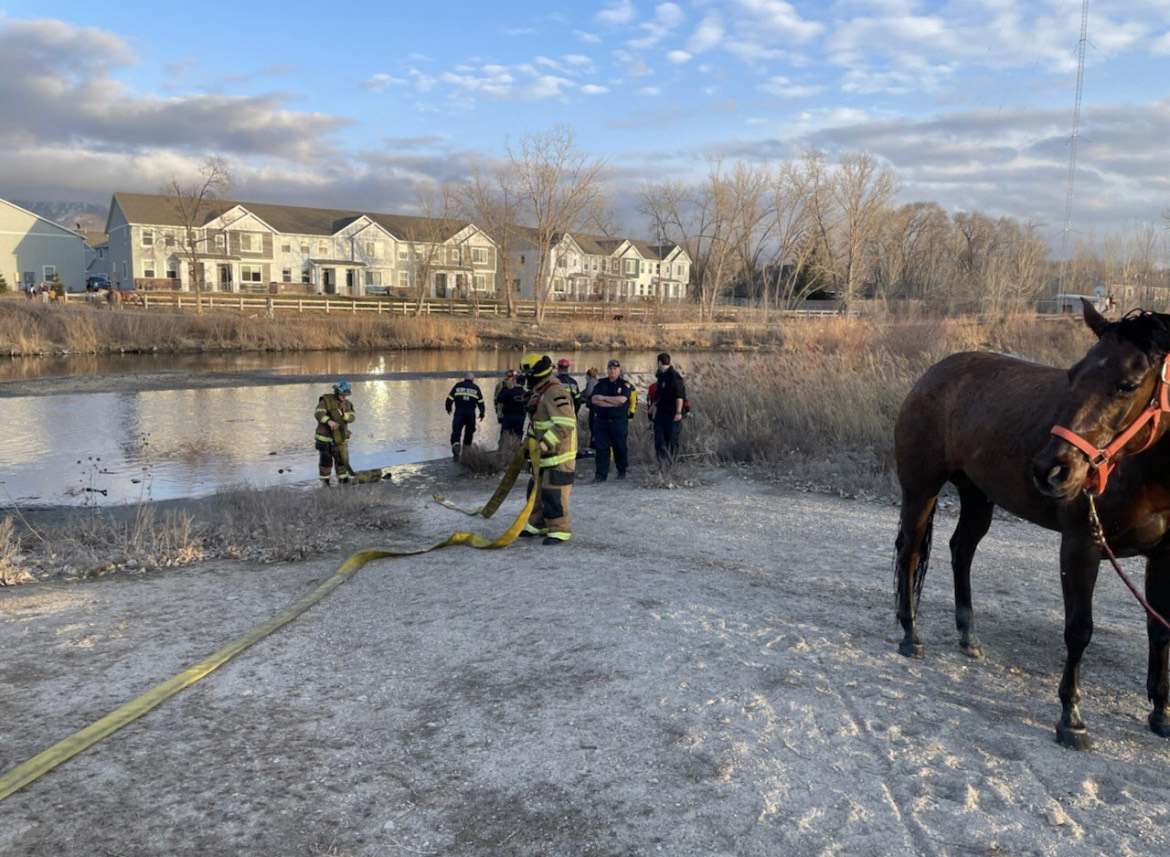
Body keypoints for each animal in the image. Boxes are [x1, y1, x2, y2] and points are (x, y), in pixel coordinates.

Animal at [893, 299, 1170, 749]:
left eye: (1128, 384)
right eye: (1074, 373)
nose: (1051, 470)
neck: (1144, 470)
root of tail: (934, 373)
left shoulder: (1163, 556)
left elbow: (1159, 630)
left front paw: (1161, 713)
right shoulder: (1080, 547)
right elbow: (1079, 629)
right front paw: (1072, 719)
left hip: (977, 496)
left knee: (961, 550)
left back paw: (969, 637)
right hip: (921, 491)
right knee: (912, 553)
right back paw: (910, 635)